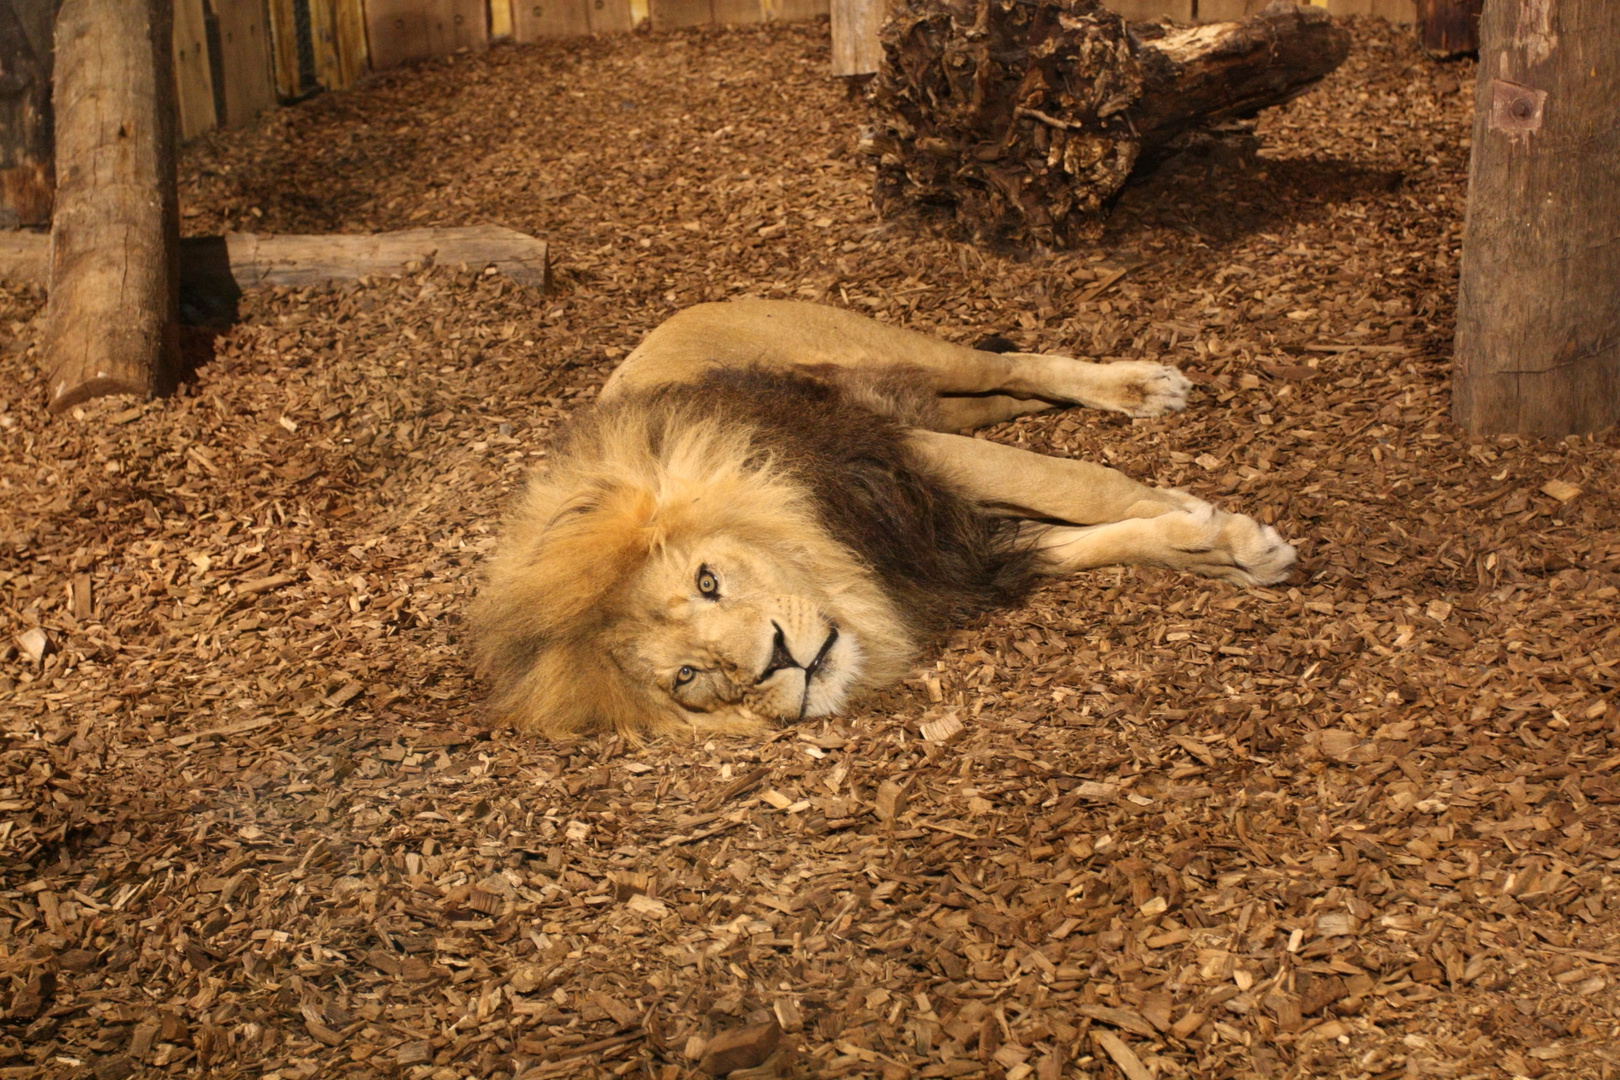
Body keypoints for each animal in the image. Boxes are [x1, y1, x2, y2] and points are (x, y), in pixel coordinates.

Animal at [469, 302, 1289, 744]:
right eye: (687, 676)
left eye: (708, 581)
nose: (778, 662)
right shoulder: (961, 551)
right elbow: (1091, 534)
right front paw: (1212, 545)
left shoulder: (911, 458)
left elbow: (1080, 483)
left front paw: (1229, 532)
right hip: (942, 404)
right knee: (1011, 395)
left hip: (894, 352)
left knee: (1014, 364)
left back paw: (1141, 386)